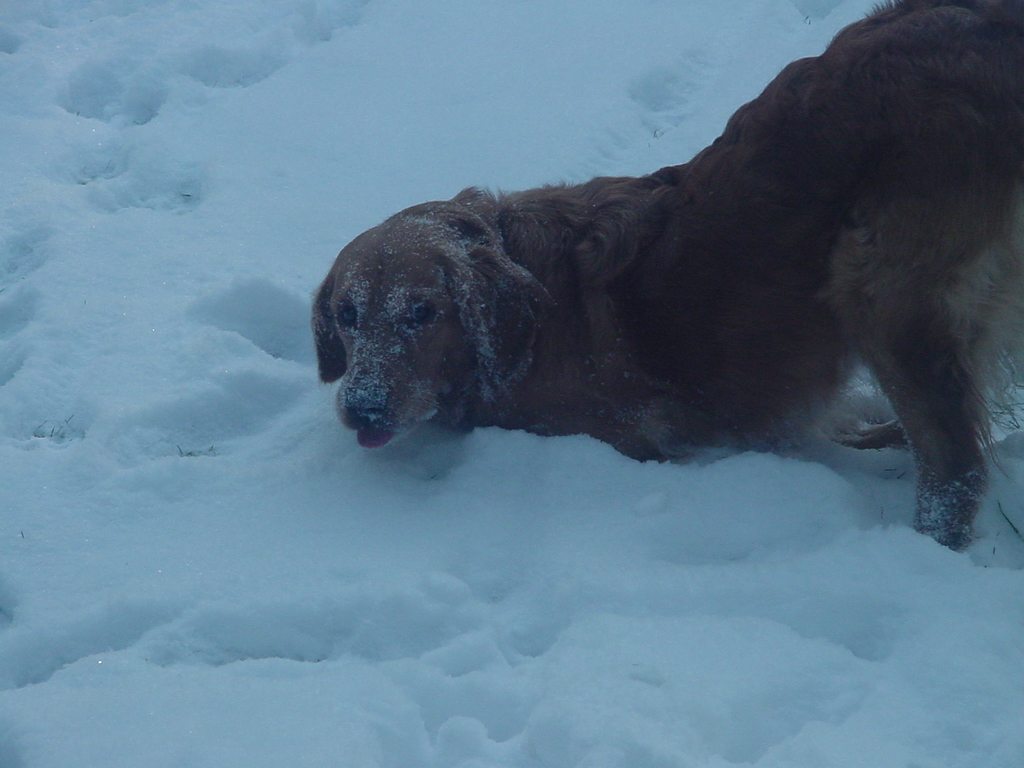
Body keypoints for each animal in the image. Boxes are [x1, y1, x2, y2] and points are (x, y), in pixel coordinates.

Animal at [311, 0, 1024, 552]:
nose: (361, 407)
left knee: (955, 464)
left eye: (421, 312)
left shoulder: (625, 433)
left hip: (875, 284)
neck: (529, 323)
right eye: (347, 316)